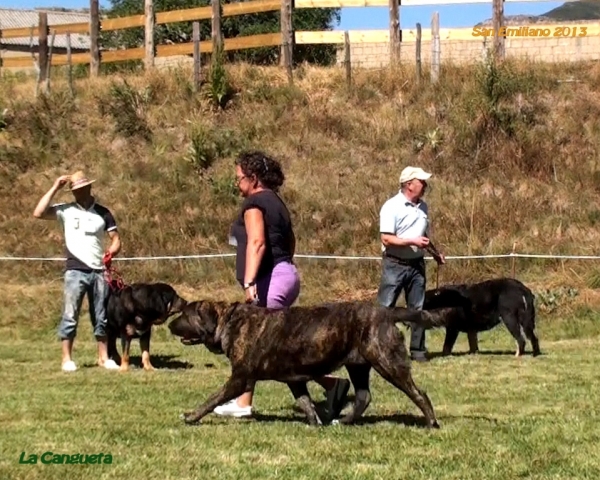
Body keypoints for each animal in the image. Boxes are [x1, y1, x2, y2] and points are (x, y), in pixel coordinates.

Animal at [165, 300, 454, 428]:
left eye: (186, 314)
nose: (169, 325)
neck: (230, 322)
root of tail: (387, 311)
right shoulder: (295, 380)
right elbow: (305, 402)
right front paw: (315, 422)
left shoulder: (240, 379)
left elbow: (212, 398)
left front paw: (191, 416)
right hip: (358, 366)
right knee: (363, 396)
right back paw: (344, 420)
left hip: (388, 362)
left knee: (419, 393)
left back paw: (431, 422)